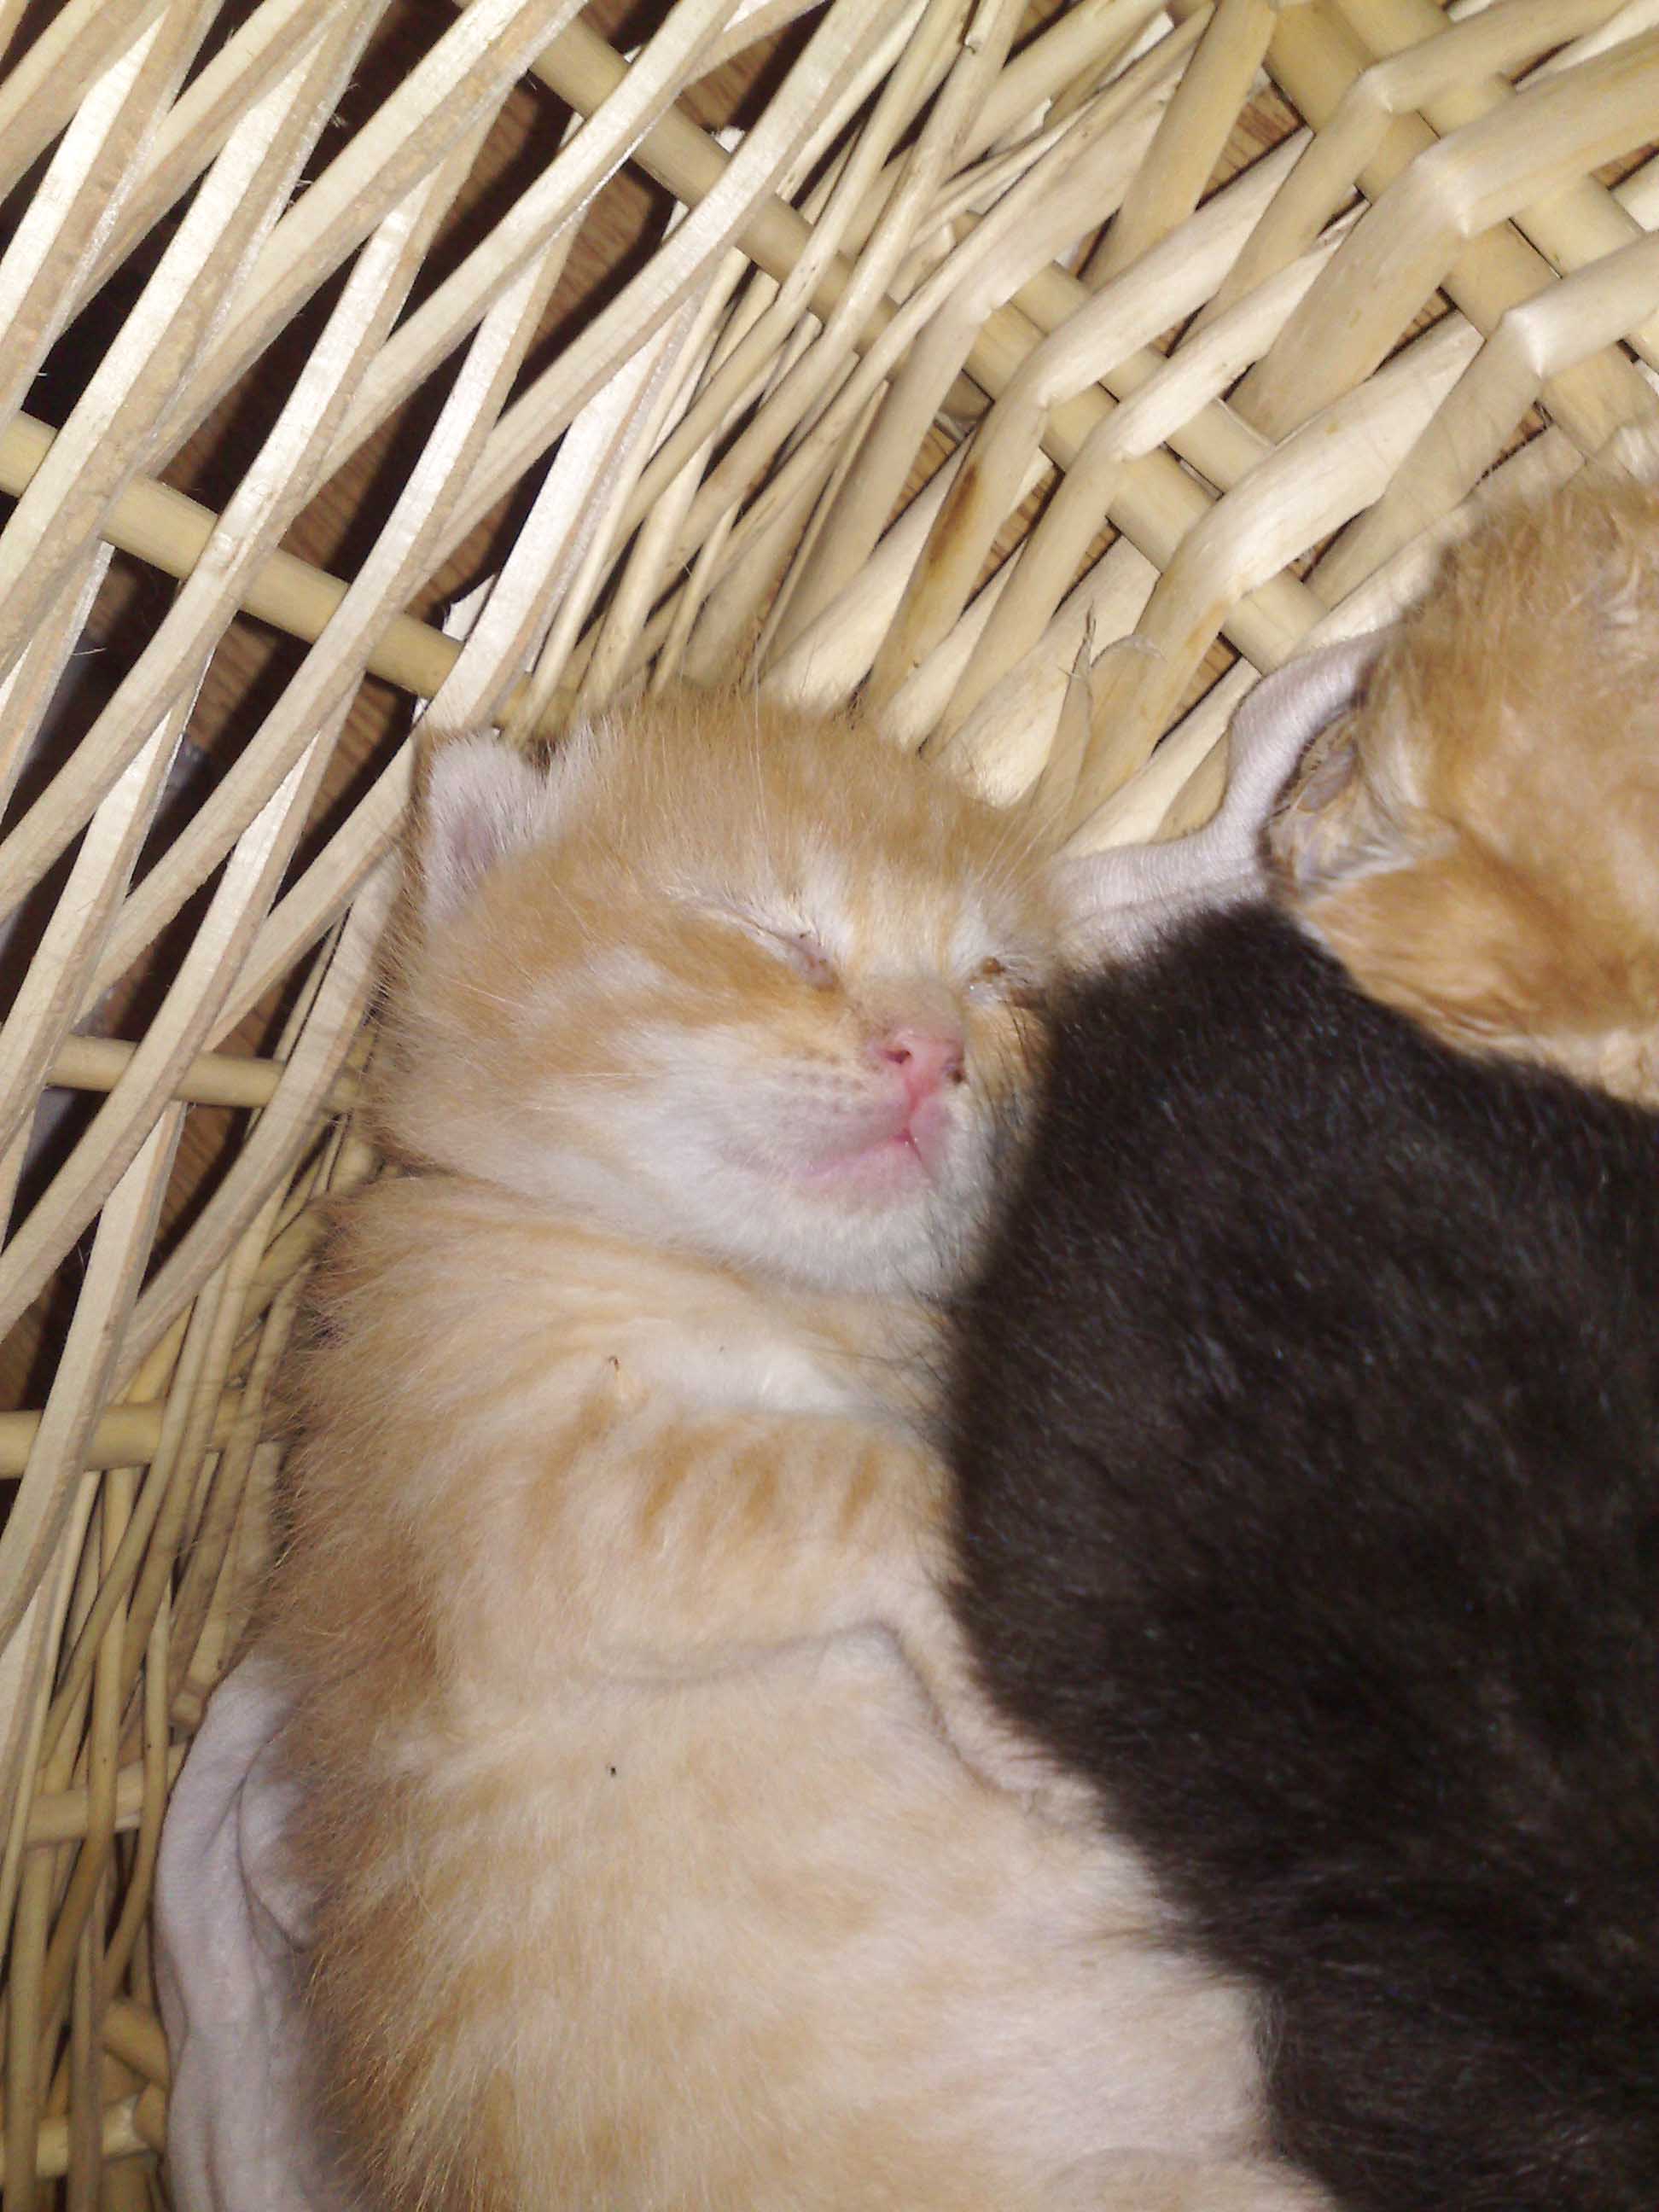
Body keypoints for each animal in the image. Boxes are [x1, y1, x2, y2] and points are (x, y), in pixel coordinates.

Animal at [263, 690, 1327, 2212]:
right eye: (776, 937)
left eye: (1000, 984)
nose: (931, 1050)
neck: (773, 1289)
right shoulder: (515, 1515)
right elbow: (858, 1478)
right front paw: (1019, 1724)